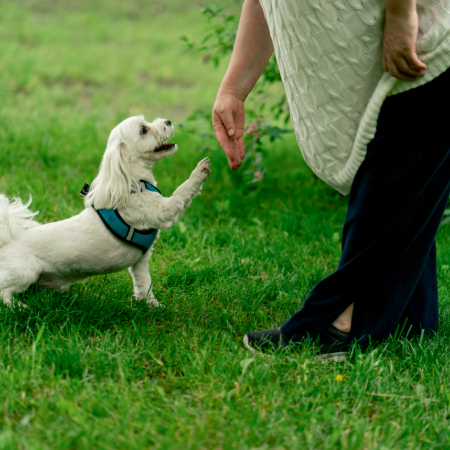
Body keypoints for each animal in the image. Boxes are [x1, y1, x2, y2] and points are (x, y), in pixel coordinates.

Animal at [0, 114, 211, 308]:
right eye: (143, 130)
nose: (167, 121)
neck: (133, 183)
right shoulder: (162, 211)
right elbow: (182, 192)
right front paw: (200, 171)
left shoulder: (140, 263)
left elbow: (144, 284)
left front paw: (152, 305)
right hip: (26, 271)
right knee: (4, 293)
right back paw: (19, 307)